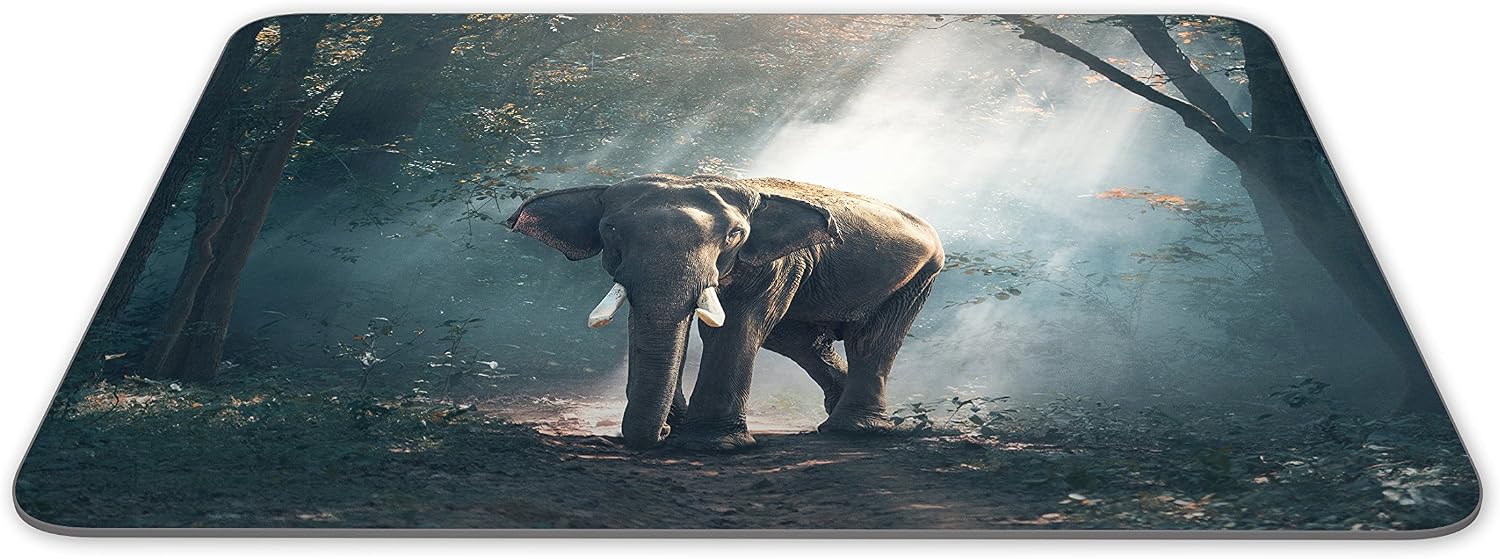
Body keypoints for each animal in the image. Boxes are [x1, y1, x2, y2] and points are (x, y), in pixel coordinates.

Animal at [506, 174, 943, 450]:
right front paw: (678, 429)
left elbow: (737, 326)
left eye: (735, 234)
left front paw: (710, 445)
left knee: (872, 341)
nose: (662, 434)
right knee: (802, 342)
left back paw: (853, 431)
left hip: (920, 275)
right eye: (610, 229)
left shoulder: (777, 264)